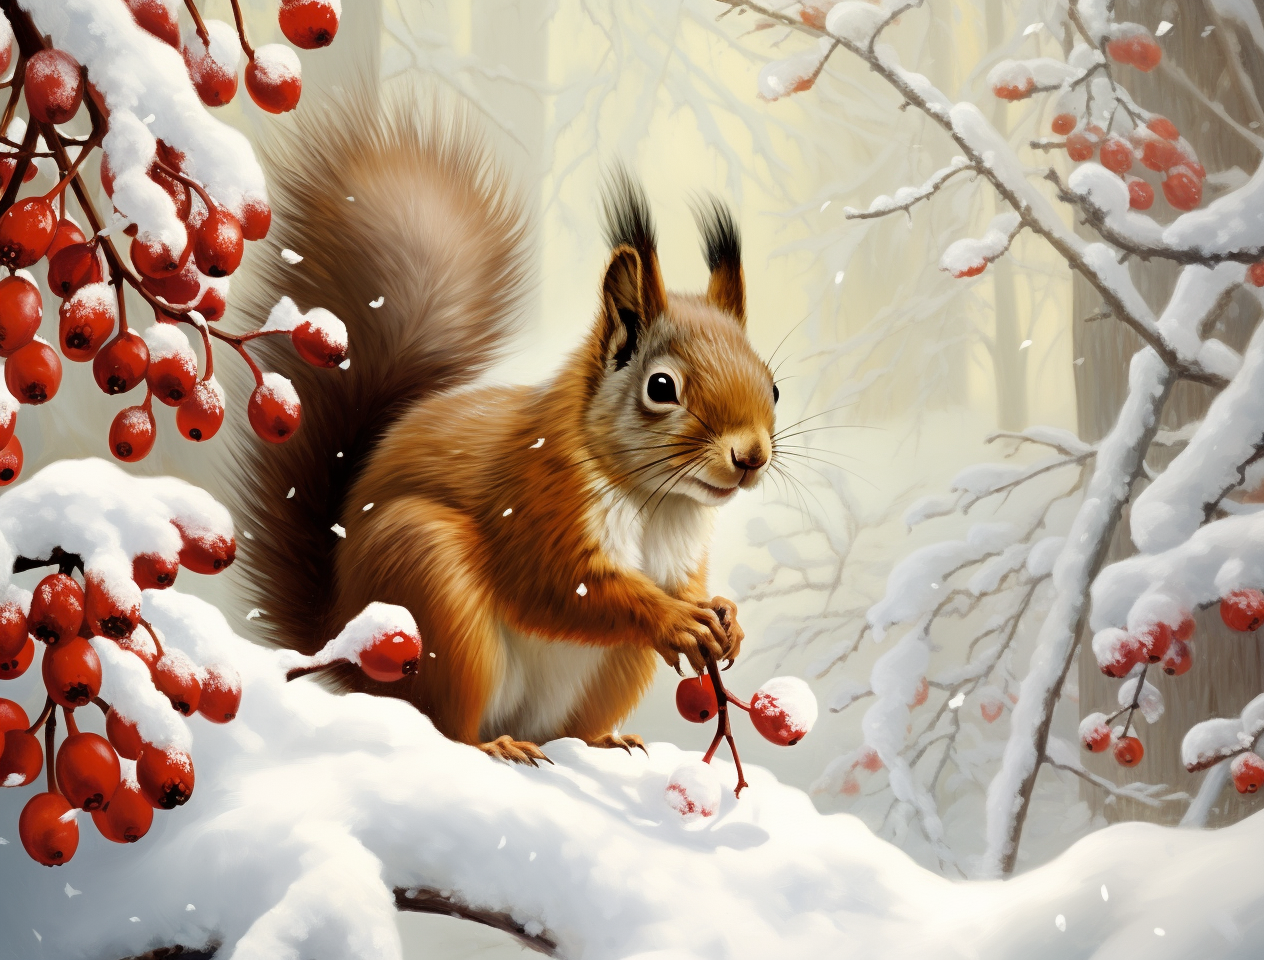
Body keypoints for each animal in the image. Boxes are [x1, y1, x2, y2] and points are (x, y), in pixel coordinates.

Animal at [234, 90, 777, 764]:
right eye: (661, 388)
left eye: (773, 385)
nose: (751, 456)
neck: (657, 501)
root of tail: (340, 647)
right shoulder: (535, 501)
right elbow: (556, 587)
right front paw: (676, 619)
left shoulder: (678, 559)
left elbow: (689, 587)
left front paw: (723, 613)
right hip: (432, 589)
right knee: (447, 724)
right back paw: (496, 745)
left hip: (612, 671)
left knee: (569, 727)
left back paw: (604, 740)